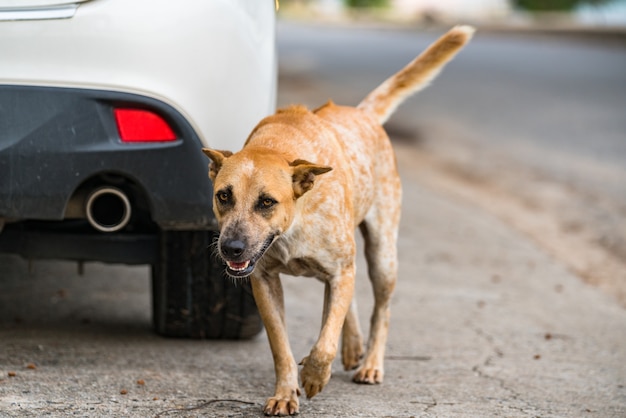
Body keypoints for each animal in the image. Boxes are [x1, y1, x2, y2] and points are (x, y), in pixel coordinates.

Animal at [202, 25, 470, 414]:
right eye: (224, 196)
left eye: (267, 202)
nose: (232, 249)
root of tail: (364, 114)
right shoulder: (265, 282)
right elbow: (281, 347)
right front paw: (286, 392)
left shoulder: (339, 270)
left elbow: (324, 343)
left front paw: (314, 376)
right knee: (349, 303)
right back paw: (353, 344)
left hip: (382, 256)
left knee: (380, 309)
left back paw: (371, 362)